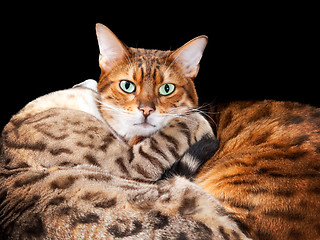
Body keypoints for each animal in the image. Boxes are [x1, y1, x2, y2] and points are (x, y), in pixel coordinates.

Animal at [0, 24, 250, 240]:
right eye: (127, 86)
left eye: (166, 89)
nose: (147, 110)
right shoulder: (132, 162)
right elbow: (182, 124)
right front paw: (197, 117)